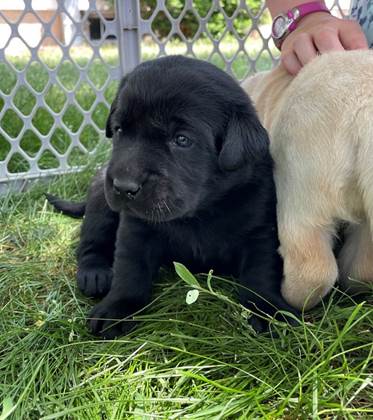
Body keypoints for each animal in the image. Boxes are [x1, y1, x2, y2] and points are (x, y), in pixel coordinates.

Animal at [47, 55, 296, 338]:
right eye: (119, 130)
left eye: (182, 140)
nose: (123, 186)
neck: (199, 213)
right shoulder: (136, 228)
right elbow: (129, 270)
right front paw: (117, 306)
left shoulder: (260, 231)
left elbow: (260, 272)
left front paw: (268, 310)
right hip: (100, 198)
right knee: (90, 243)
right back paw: (95, 274)